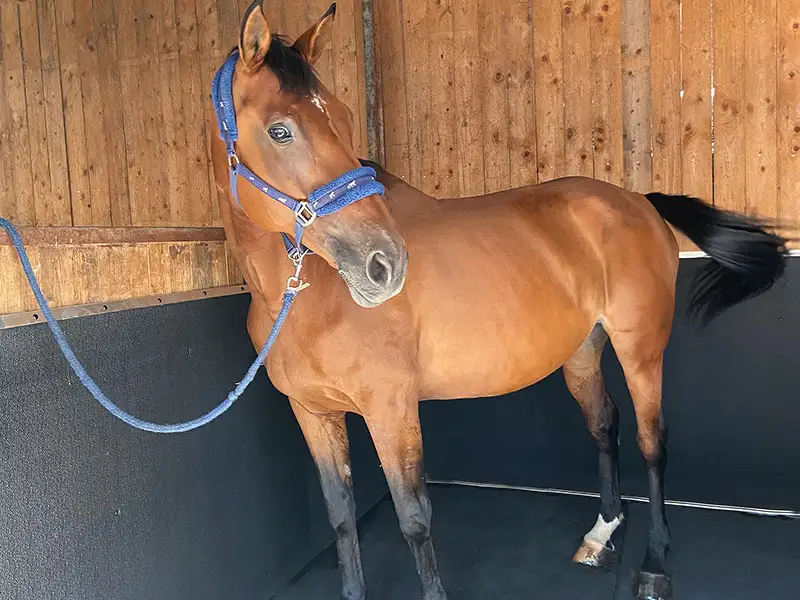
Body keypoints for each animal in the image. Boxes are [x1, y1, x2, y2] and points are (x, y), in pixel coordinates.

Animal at [211, 3, 789, 599]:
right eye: (280, 130)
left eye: (347, 120)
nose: (385, 263)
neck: (306, 300)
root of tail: (637, 201)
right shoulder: (313, 414)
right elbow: (341, 516)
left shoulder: (391, 410)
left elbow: (413, 518)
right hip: (582, 352)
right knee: (604, 424)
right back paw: (602, 532)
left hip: (641, 351)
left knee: (654, 441)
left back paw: (654, 561)